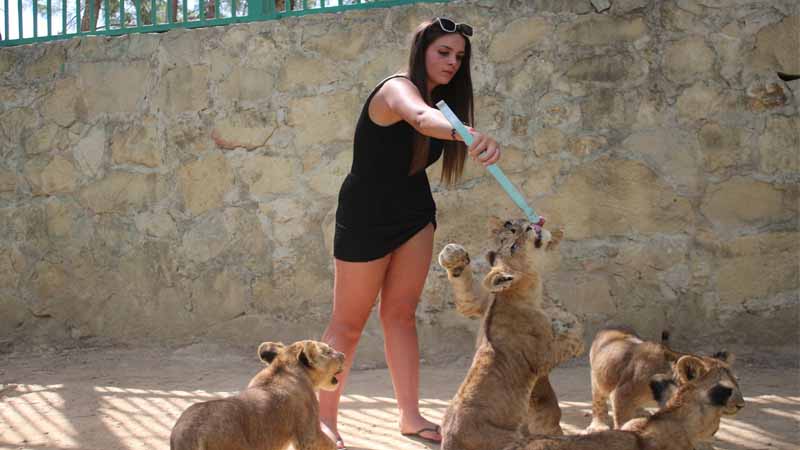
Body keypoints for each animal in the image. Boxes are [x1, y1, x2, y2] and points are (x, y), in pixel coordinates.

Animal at [170, 340, 345, 450]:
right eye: (329, 351)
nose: (343, 355)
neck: (286, 367)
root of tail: (190, 433)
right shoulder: (309, 434)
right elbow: (328, 444)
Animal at [438, 217, 584, 450]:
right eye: (513, 246)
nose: (527, 225)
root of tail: (450, 440)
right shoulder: (541, 359)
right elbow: (563, 344)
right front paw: (573, 336)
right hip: (512, 441)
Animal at [585, 326, 736, 433]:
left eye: (737, 381)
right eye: (722, 387)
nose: (739, 405)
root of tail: (609, 327)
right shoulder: (621, 394)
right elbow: (622, 421)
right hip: (597, 379)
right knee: (598, 402)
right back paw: (597, 426)